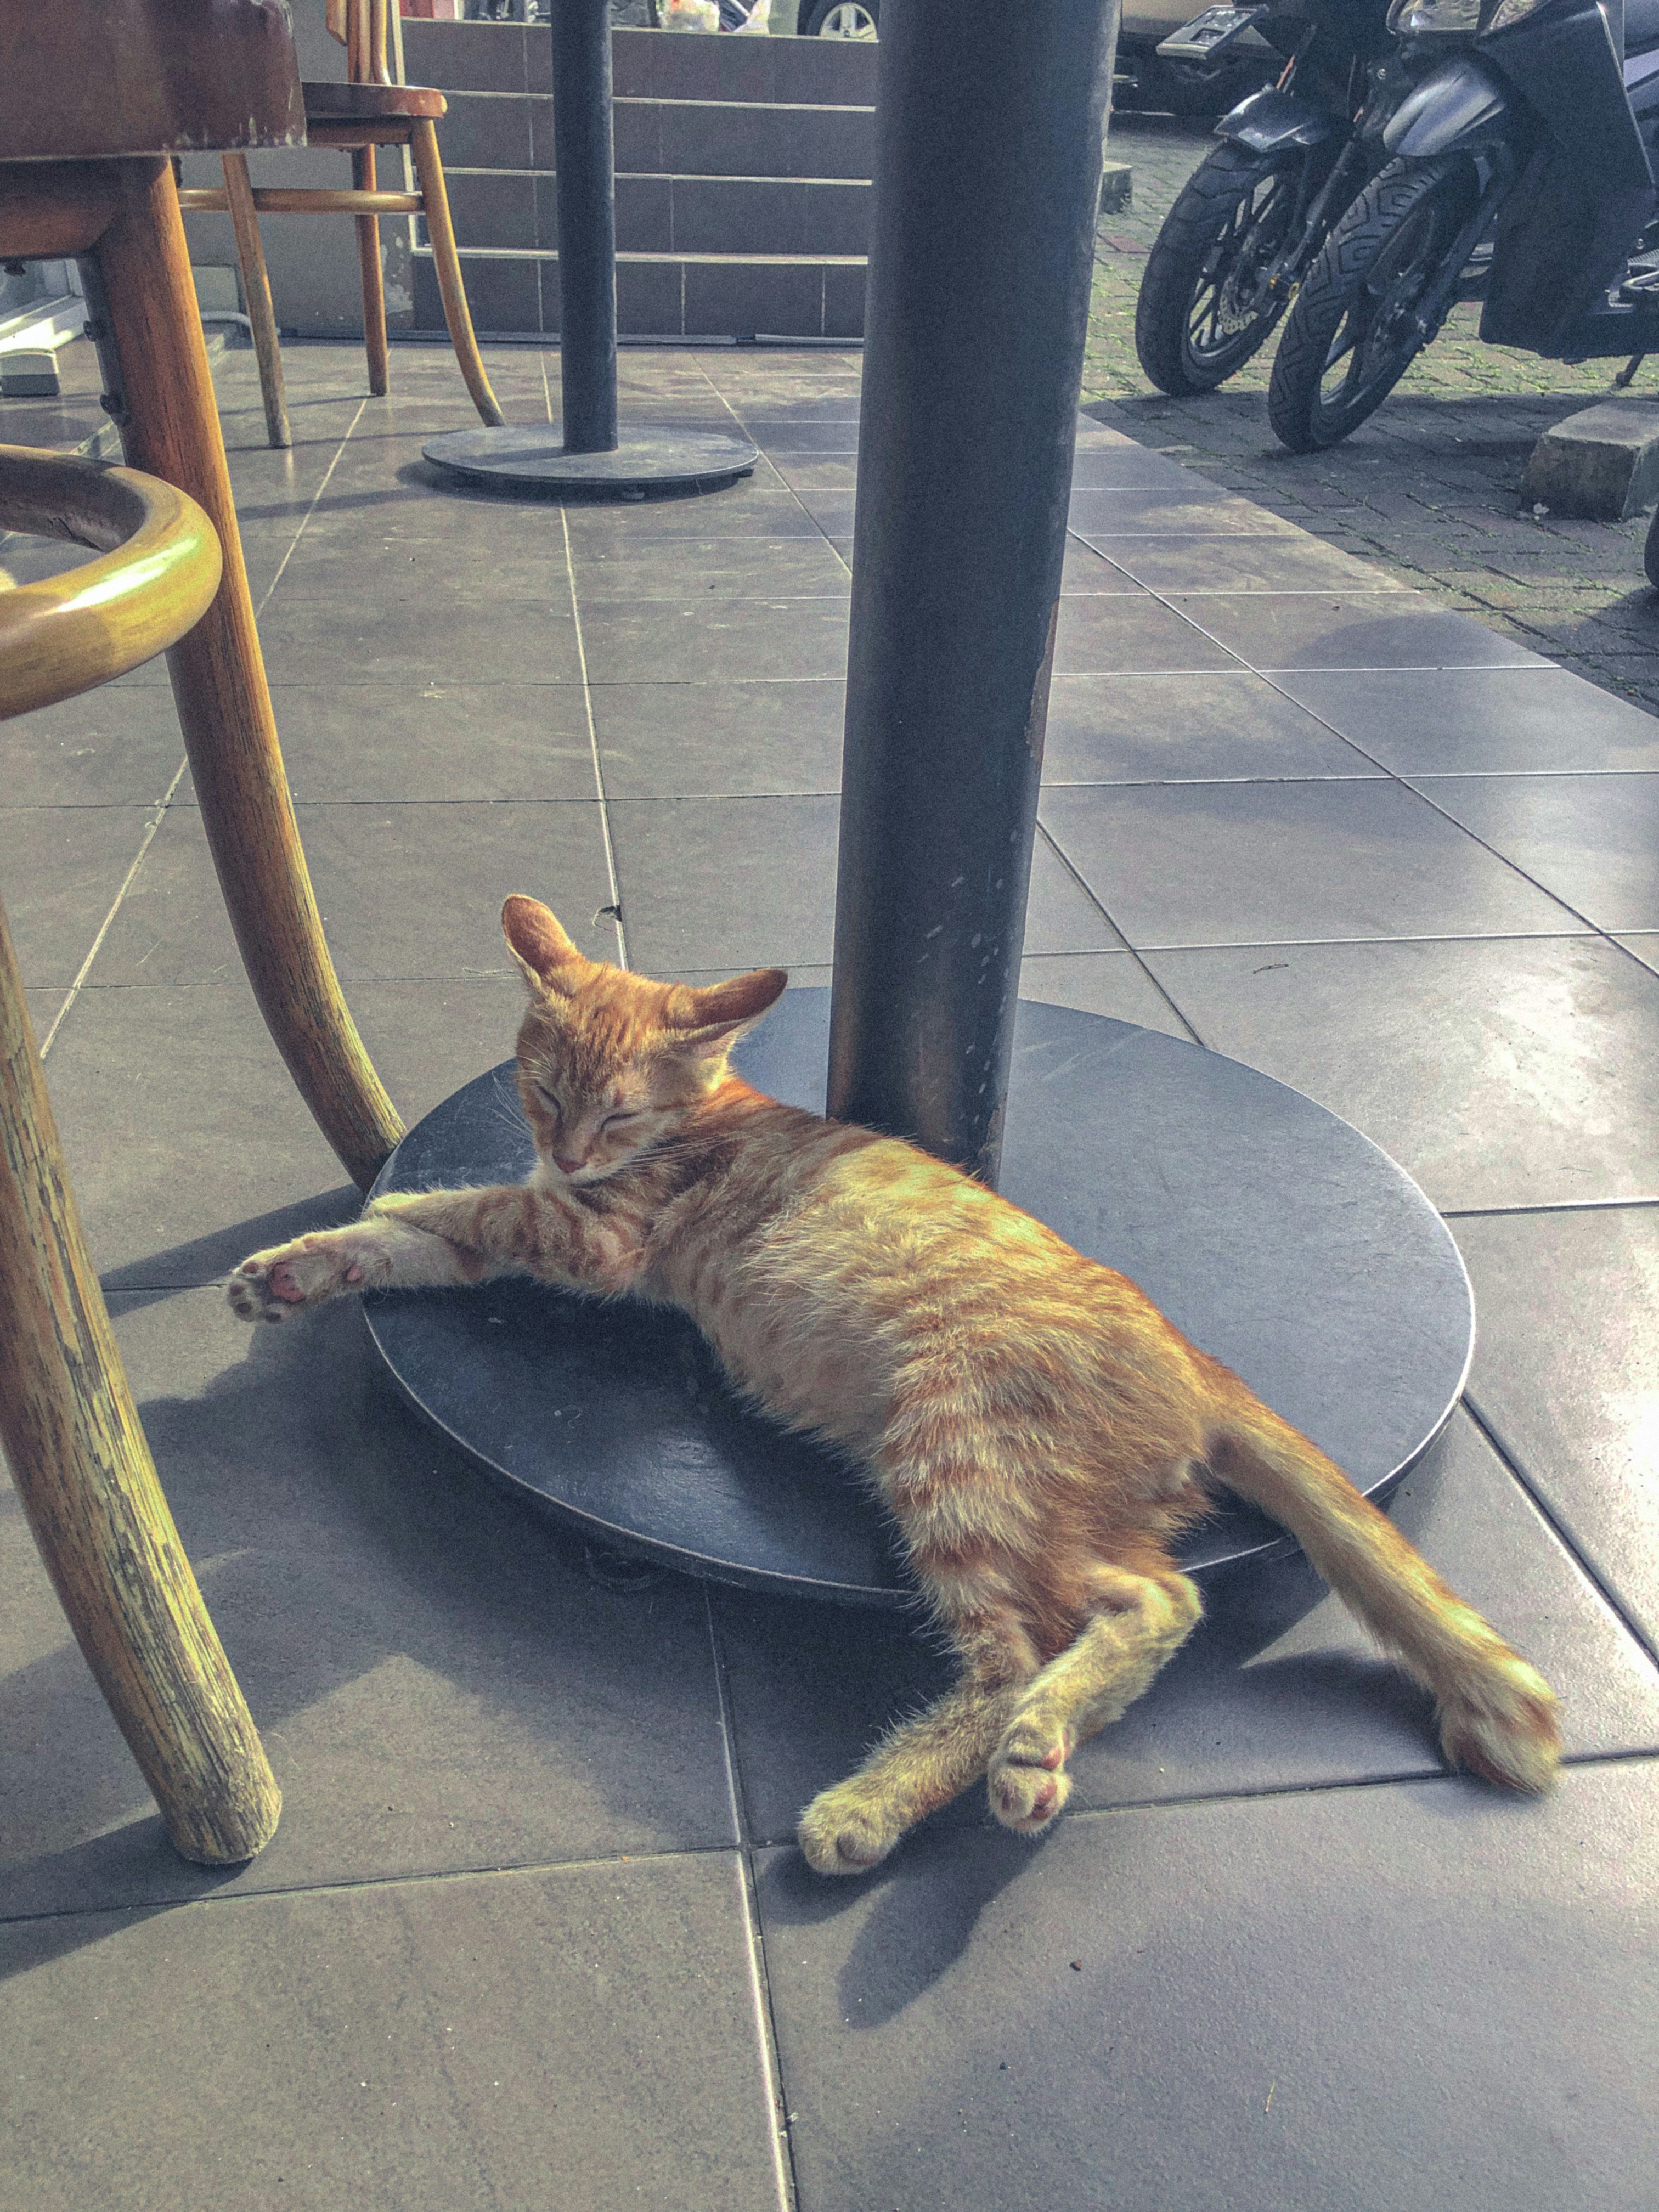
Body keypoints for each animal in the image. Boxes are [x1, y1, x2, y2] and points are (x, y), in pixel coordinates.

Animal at [227, 894, 1561, 1873]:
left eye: (613, 1114)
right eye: (543, 1089)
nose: (561, 1144)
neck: (705, 1115)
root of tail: (1193, 1353)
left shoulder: (593, 1237)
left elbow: (465, 1207)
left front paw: (393, 1198)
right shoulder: (555, 1219)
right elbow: (416, 1241)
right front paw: (301, 1267)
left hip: (954, 1454)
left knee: (1085, 1631)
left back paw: (906, 1791)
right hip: (1034, 1505)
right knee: (1136, 1602)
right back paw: (1020, 1760)